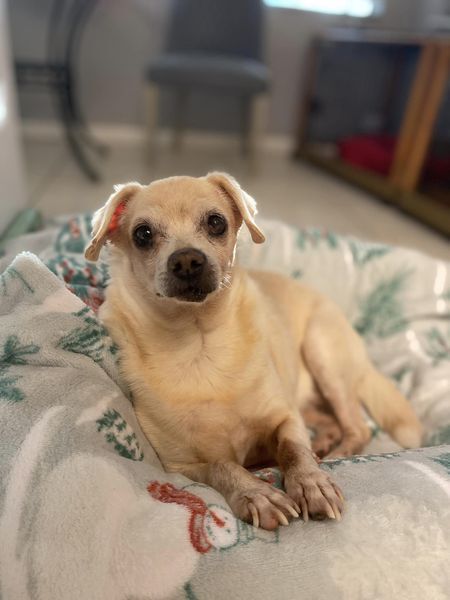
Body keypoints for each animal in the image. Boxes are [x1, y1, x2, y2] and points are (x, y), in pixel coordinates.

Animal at [86, 172, 424, 528]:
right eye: (143, 234)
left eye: (216, 223)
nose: (187, 260)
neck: (198, 343)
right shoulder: (181, 466)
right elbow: (223, 466)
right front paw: (258, 494)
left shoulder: (286, 419)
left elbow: (293, 450)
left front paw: (311, 483)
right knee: (331, 421)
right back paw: (324, 443)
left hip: (322, 354)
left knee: (357, 427)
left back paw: (337, 454)